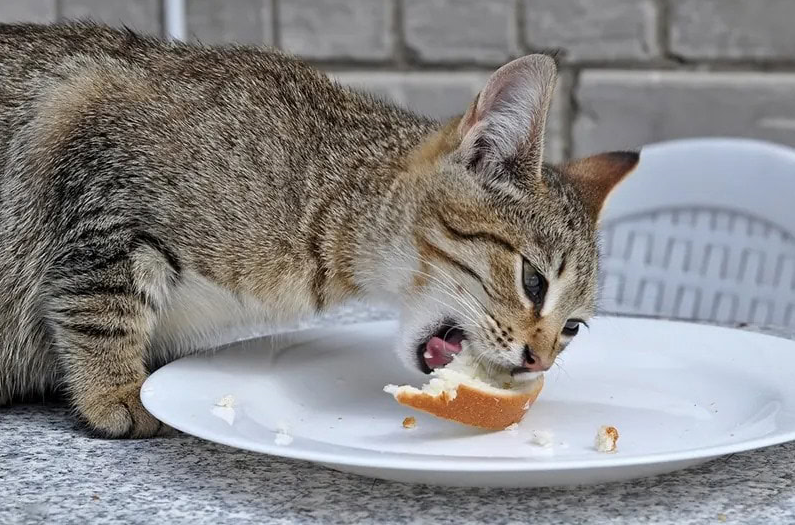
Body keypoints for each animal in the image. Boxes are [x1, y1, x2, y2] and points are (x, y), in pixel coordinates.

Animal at [0, 22, 636, 436]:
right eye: (533, 282)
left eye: (573, 328)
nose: (540, 362)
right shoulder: (100, 162)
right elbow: (101, 304)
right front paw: (116, 389)